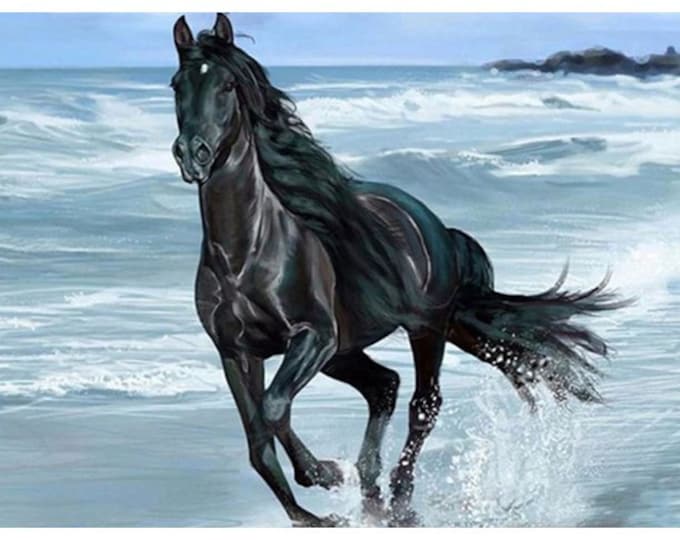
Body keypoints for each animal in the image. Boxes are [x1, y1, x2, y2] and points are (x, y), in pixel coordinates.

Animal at [170, 13, 629, 527]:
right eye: (176, 85)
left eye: (228, 85)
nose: (193, 153)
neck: (245, 256)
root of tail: (436, 227)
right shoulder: (236, 352)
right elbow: (257, 440)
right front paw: (315, 513)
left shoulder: (313, 337)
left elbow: (272, 408)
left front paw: (325, 473)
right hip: (352, 349)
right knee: (385, 387)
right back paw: (371, 494)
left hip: (423, 328)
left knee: (422, 404)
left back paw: (399, 500)